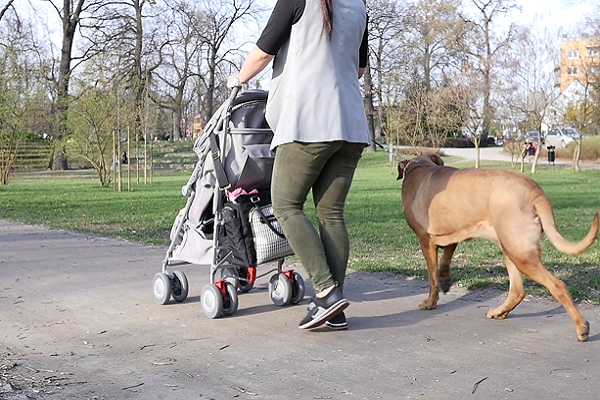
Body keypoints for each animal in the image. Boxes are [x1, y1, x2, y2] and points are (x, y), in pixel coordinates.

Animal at [396, 153, 596, 340]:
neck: (419, 165)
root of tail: (535, 191)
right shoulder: (453, 233)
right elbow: (445, 259)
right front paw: (445, 280)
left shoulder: (425, 240)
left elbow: (432, 277)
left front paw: (430, 302)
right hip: (511, 247)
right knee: (517, 290)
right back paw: (500, 312)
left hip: (521, 253)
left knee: (557, 285)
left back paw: (581, 327)